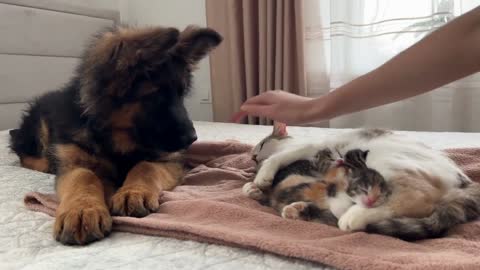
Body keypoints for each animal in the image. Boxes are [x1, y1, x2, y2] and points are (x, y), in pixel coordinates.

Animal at [9, 25, 223, 245]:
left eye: (181, 94)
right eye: (155, 96)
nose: (192, 139)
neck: (118, 141)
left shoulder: (168, 159)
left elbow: (145, 166)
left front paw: (133, 192)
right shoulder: (73, 163)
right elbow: (84, 175)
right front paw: (82, 209)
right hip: (40, 126)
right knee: (23, 151)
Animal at [251, 127, 480, 239]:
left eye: (261, 144)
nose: (252, 156)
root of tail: (465, 182)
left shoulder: (312, 148)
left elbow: (278, 158)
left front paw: (263, 175)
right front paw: (254, 187)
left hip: (389, 165)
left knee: (415, 201)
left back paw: (352, 216)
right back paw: (298, 209)